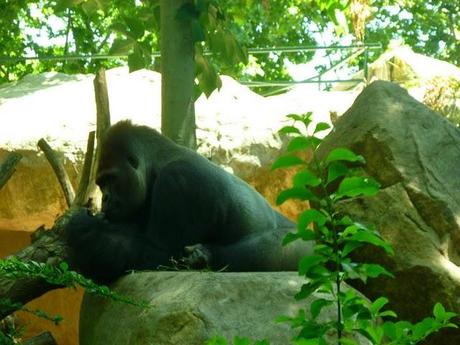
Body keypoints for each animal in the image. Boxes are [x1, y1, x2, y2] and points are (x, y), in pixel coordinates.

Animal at [65, 120, 310, 282]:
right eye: (100, 183)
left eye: (111, 179)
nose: (105, 198)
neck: (157, 161)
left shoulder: (179, 180)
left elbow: (162, 254)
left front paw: (87, 231)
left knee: (276, 247)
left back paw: (208, 257)